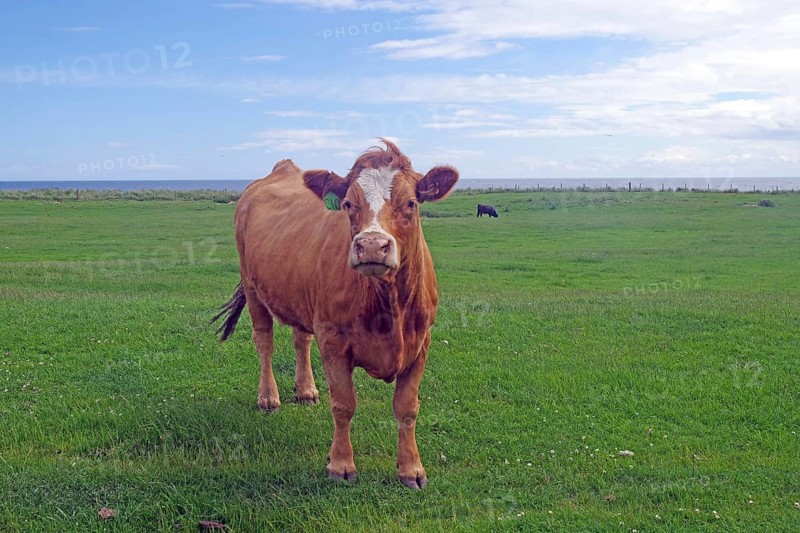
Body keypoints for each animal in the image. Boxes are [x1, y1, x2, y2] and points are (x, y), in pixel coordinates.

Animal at [212, 139, 458, 489]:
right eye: (347, 204)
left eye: (411, 203)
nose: (372, 245)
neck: (387, 305)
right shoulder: (333, 338)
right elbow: (344, 404)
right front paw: (341, 465)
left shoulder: (421, 340)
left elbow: (407, 407)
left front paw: (411, 469)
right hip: (253, 286)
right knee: (264, 342)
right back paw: (269, 397)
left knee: (300, 339)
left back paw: (306, 390)